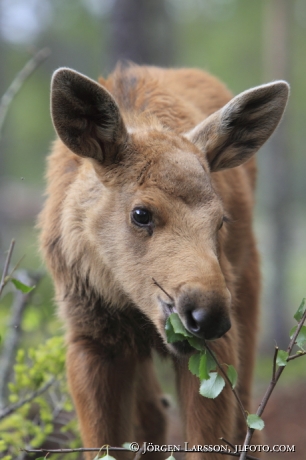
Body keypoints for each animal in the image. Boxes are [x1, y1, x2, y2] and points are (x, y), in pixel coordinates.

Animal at [38, 64, 290, 460]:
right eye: (141, 213)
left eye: (220, 221)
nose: (208, 315)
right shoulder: (91, 340)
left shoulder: (218, 347)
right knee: (153, 416)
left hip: (247, 298)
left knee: (245, 422)